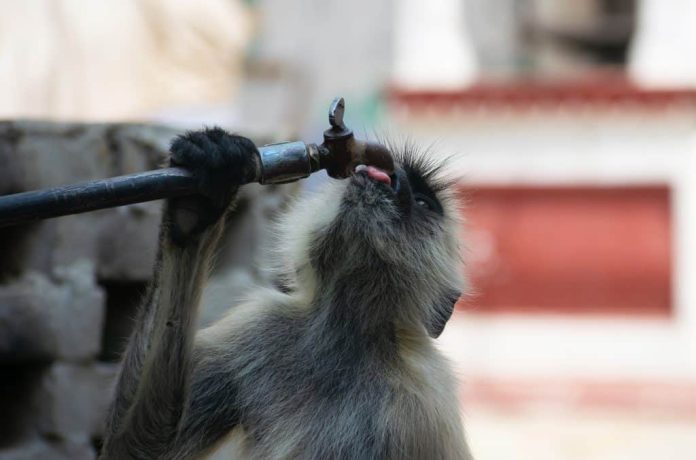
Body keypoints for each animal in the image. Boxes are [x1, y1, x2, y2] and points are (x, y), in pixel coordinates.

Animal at [98, 126, 474, 460]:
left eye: (423, 202)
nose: (389, 176)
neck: (344, 340)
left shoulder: (416, 412)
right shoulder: (265, 324)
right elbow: (135, 449)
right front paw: (198, 201)